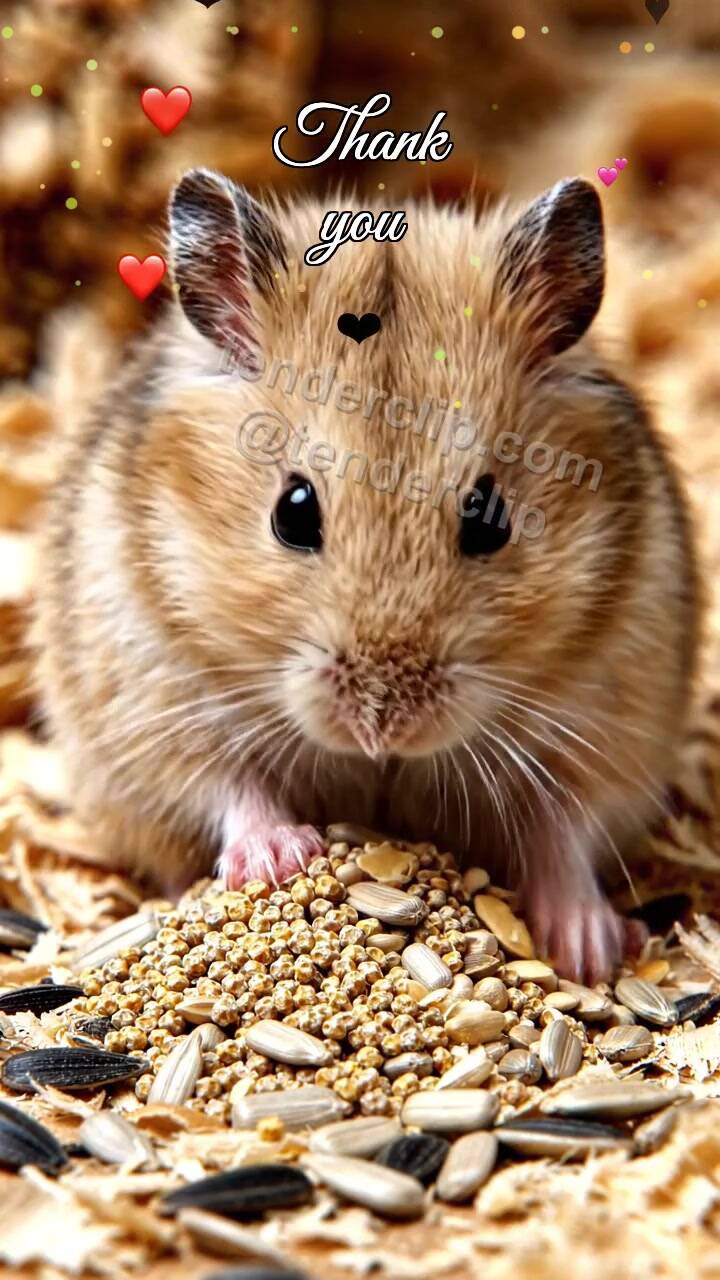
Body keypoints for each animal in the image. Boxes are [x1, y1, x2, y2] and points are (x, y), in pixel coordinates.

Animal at [33, 169, 700, 982]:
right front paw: (285, 861)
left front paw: (586, 952)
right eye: (292, 512)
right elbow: (227, 788)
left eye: (490, 517)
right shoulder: (152, 704)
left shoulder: (611, 723)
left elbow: (563, 829)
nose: (382, 729)